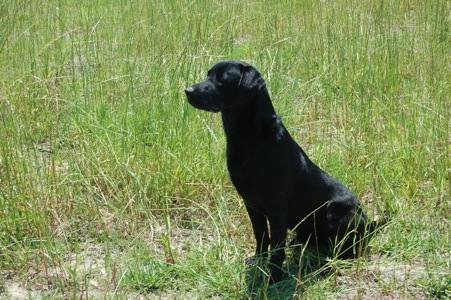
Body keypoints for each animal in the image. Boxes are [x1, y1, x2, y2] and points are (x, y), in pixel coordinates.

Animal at [185, 60, 372, 284]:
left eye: (221, 80)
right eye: (208, 75)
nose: (188, 91)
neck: (249, 141)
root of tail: (369, 223)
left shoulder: (276, 204)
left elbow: (276, 246)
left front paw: (273, 277)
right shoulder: (251, 203)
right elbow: (261, 236)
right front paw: (258, 261)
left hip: (336, 212)